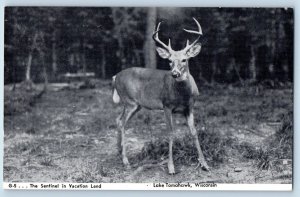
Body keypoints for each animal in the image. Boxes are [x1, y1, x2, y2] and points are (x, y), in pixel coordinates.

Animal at [112, 17, 209, 174]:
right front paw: (171, 166)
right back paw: (125, 160)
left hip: (136, 105)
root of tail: (115, 77)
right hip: (129, 101)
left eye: (184, 59)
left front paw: (204, 164)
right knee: (122, 122)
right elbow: (170, 133)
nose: (175, 73)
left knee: (118, 120)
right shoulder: (166, 105)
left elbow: (194, 132)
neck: (183, 95)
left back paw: (118, 151)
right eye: (170, 61)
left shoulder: (190, 107)